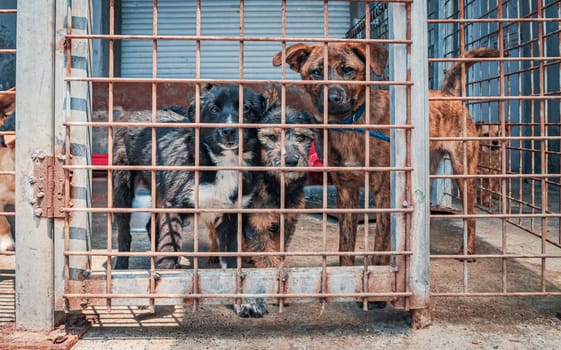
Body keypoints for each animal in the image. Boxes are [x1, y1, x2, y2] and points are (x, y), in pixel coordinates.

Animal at [112, 84, 266, 268]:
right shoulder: (173, 208)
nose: (228, 131)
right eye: (213, 109)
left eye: (246, 108)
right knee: (124, 233)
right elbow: (168, 252)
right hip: (122, 189)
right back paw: (121, 266)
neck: (222, 162)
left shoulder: (232, 215)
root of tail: (131, 113)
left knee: (150, 225)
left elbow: (231, 261)